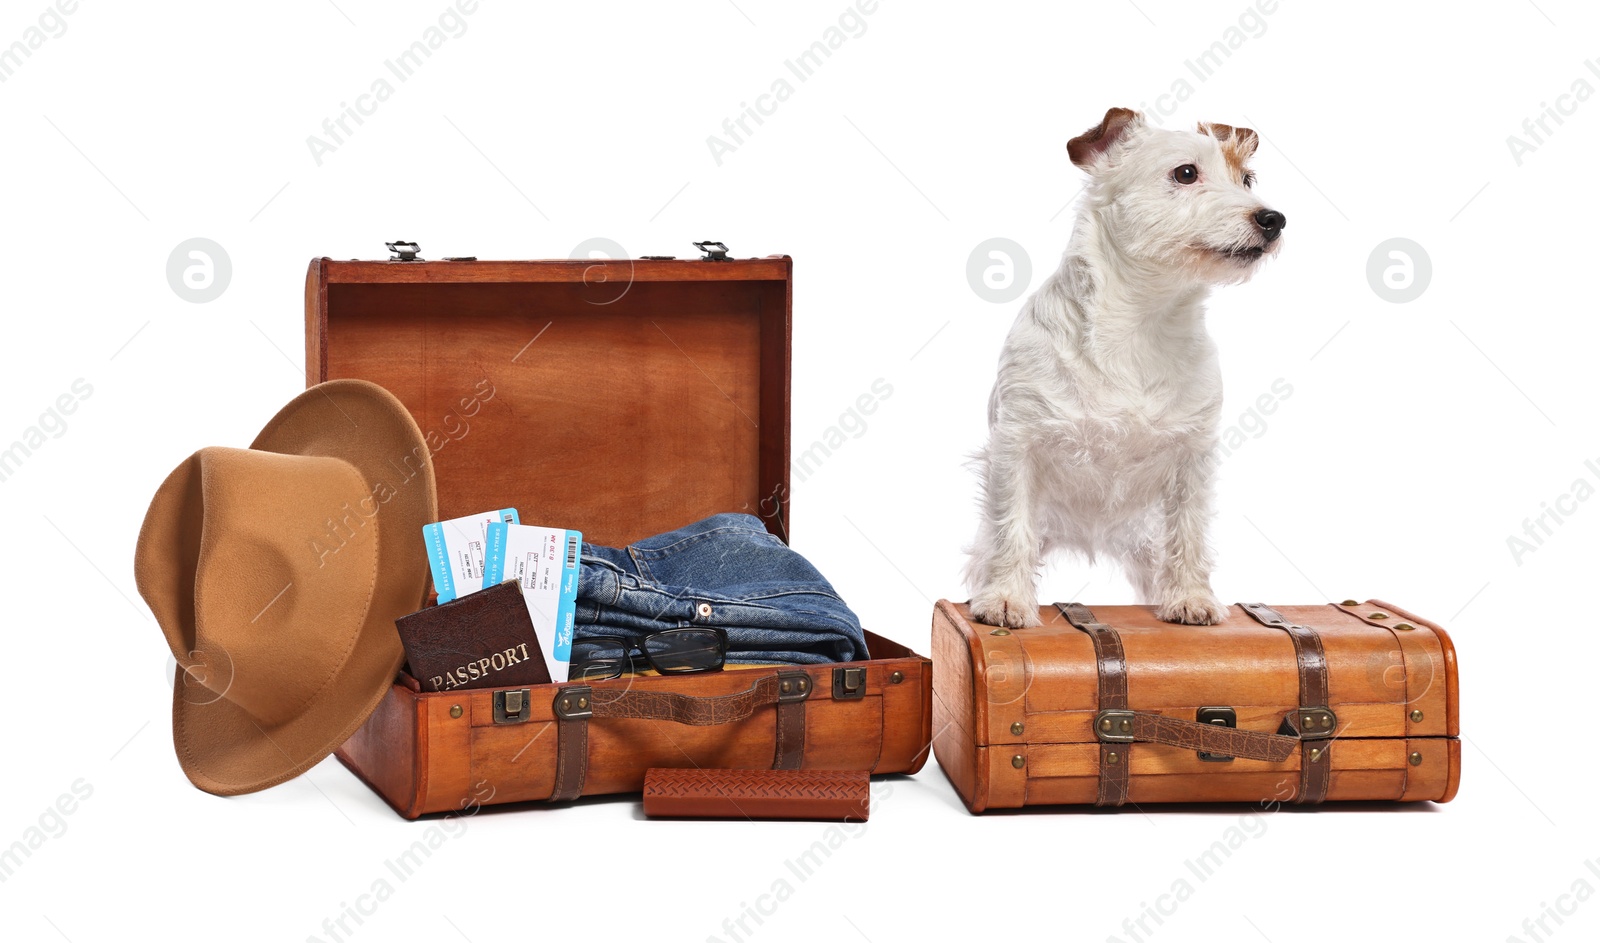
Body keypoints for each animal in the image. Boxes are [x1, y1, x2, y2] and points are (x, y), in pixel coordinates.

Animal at [960, 108, 1286, 624]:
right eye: (1186, 173)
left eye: (1247, 179)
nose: (1274, 219)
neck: (1142, 322)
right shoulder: (1017, 445)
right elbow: (1012, 527)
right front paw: (1006, 598)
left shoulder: (1193, 458)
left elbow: (1190, 530)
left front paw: (1192, 597)